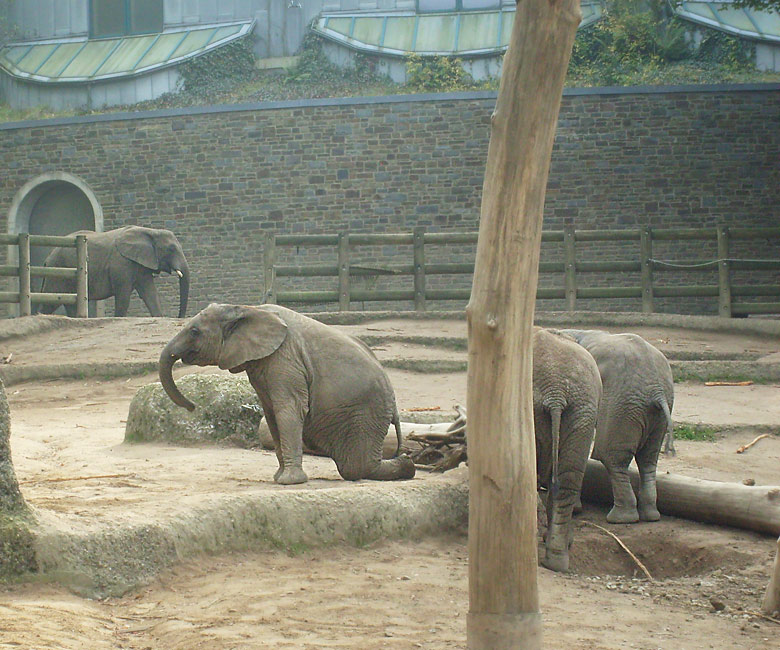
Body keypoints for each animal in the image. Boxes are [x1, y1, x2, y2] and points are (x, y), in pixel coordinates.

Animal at [40, 227, 190, 318]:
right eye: (171, 249)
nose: (179, 317)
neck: (150, 231)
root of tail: (47, 257)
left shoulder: (141, 264)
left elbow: (150, 292)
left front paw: (158, 317)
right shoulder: (121, 263)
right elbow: (123, 294)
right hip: (57, 271)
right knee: (49, 301)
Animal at [157, 302, 414, 480]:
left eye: (194, 332)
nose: (192, 406)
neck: (247, 309)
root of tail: (394, 405)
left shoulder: (284, 359)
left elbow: (288, 410)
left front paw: (289, 481)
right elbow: (271, 414)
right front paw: (279, 478)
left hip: (366, 412)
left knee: (356, 466)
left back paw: (408, 465)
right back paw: (408, 465)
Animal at [556, 330, 672, 520]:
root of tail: (657, 390)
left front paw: (575, 510)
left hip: (621, 403)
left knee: (609, 455)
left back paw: (621, 518)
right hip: (654, 409)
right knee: (648, 458)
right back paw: (650, 515)